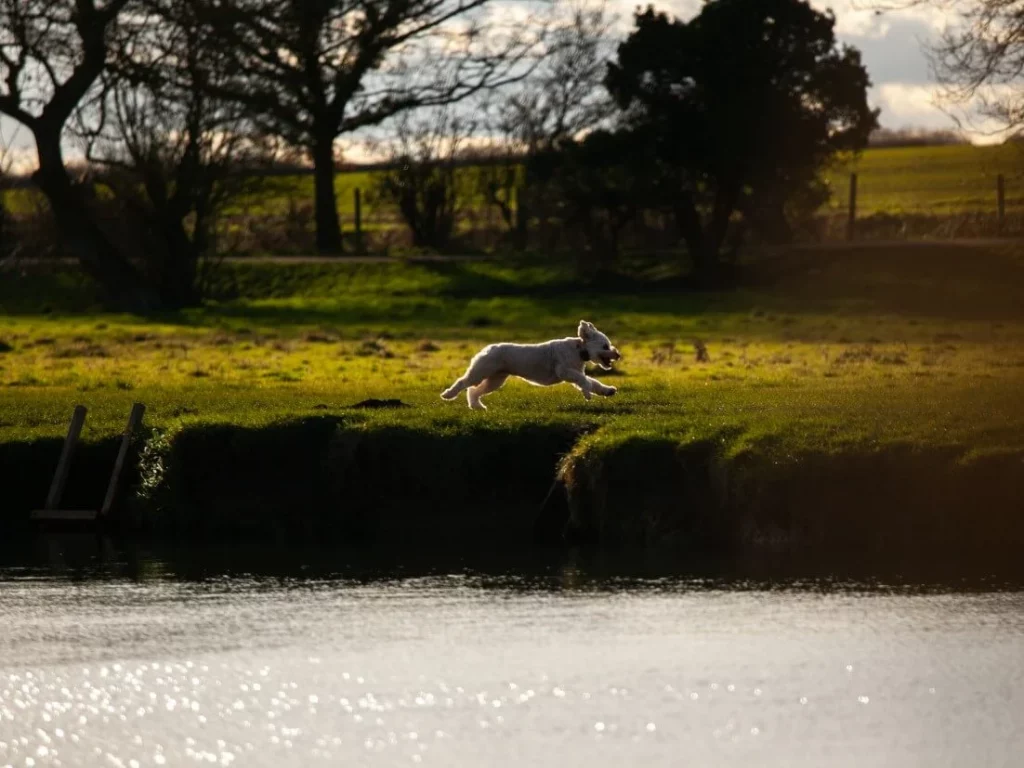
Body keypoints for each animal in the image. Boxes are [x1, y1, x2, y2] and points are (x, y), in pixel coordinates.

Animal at [442, 319, 622, 411]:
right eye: (605, 346)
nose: (618, 355)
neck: (580, 350)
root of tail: (488, 348)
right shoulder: (565, 371)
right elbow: (585, 381)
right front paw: (587, 394)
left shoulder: (575, 373)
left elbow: (593, 382)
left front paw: (607, 391)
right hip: (480, 371)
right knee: (463, 383)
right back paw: (448, 395)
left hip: (495, 379)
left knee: (474, 391)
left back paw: (477, 406)